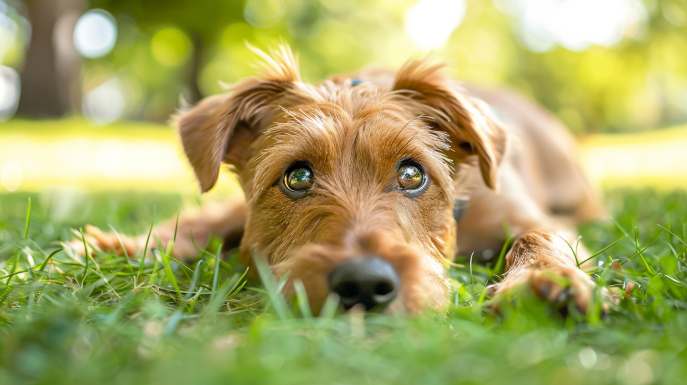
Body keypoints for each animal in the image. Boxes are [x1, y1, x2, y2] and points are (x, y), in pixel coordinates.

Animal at [72, 45, 604, 316]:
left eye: (412, 173)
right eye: (297, 176)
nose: (364, 284)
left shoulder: (525, 215)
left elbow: (540, 237)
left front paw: (545, 280)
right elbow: (205, 222)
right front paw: (119, 247)